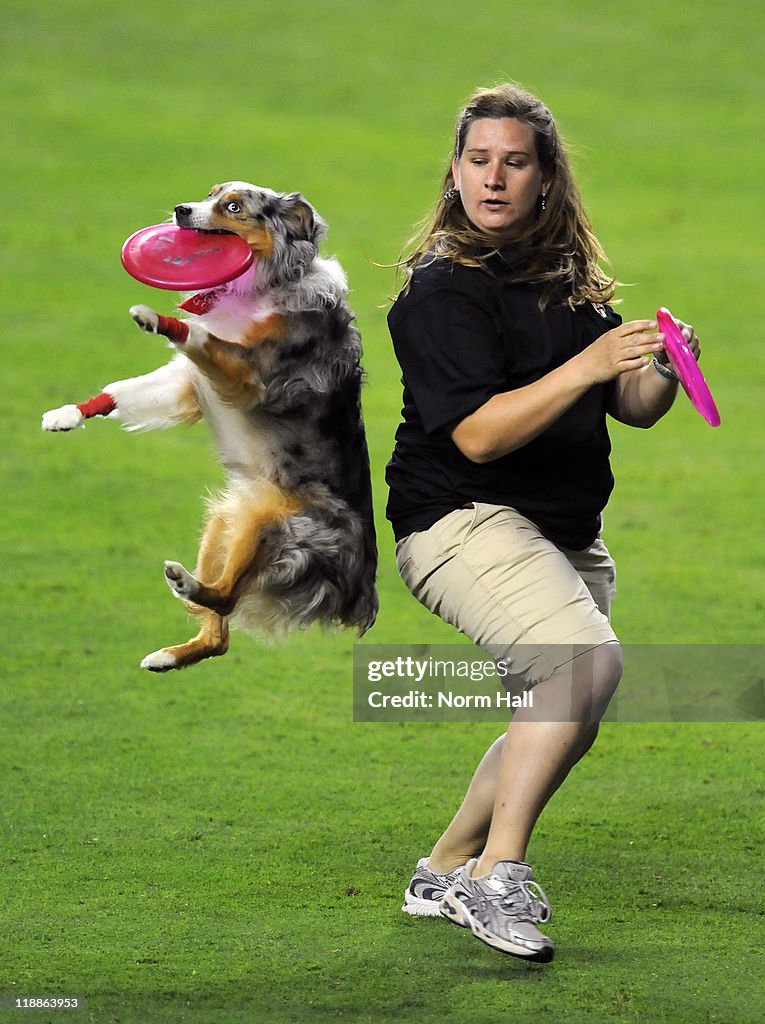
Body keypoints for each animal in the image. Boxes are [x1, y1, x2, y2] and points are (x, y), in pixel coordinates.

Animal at [41, 184, 376, 671]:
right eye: (210, 193)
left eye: (234, 206)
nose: (181, 210)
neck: (263, 285)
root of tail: (360, 590)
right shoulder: (188, 384)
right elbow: (123, 392)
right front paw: (67, 414)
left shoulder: (246, 376)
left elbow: (202, 337)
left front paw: (157, 319)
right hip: (224, 522)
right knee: (221, 633)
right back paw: (168, 654)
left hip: (273, 527)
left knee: (225, 597)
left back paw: (186, 585)